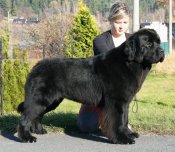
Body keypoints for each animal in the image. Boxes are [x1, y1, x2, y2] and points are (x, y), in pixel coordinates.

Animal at [16, 28, 164, 144]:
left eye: (159, 42)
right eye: (148, 43)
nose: (162, 51)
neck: (129, 62)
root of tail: (35, 66)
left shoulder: (125, 101)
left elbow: (125, 119)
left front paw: (129, 134)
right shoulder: (117, 101)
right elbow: (118, 120)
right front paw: (123, 139)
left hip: (52, 100)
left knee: (37, 115)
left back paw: (39, 130)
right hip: (40, 99)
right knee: (25, 117)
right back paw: (26, 137)